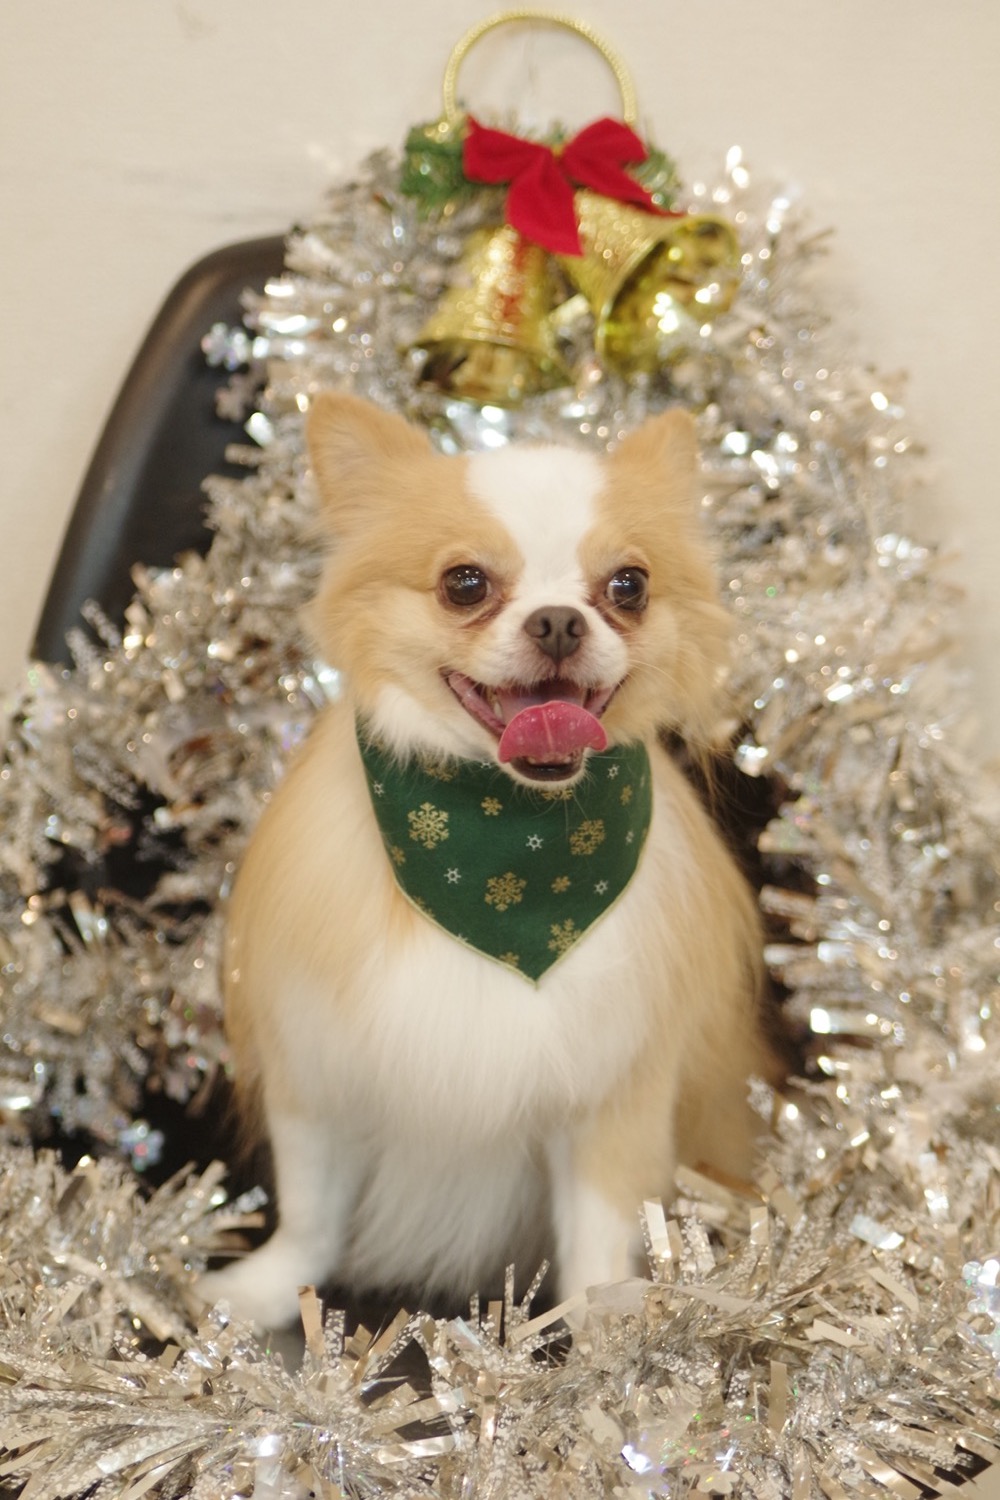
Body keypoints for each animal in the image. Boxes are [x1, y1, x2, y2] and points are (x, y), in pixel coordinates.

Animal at [201, 393, 779, 1329]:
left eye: (630, 586)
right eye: (463, 584)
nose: (559, 621)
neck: (508, 856)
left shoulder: (613, 1095)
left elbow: (598, 1241)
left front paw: (604, 1339)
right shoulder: (322, 1076)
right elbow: (309, 1216)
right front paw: (257, 1295)